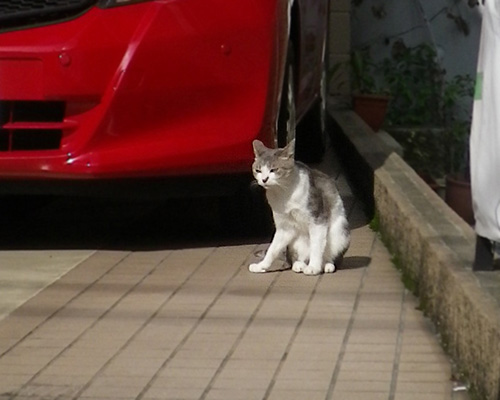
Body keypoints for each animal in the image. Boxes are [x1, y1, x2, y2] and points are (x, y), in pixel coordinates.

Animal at [248, 140, 350, 276]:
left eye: (273, 170)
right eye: (258, 170)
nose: (264, 179)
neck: (283, 192)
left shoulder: (318, 219)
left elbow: (317, 246)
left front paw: (314, 267)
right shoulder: (284, 227)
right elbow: (272, 249)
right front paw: (261, 266)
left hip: (340, 232)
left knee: (329, 256)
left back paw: (326, 265)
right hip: (295, 243)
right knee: (297, 257)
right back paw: (299, 264)